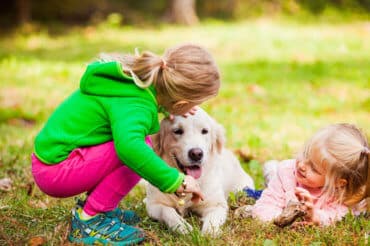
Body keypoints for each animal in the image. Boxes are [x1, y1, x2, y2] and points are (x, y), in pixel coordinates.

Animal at [145, 107, 254, 236]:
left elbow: (212, 219)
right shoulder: (153, 205)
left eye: (204, 131)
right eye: (177, 131)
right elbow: (167, 211)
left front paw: (209, 233)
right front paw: (181, 226)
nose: (196, 154)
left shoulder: (216, 204)